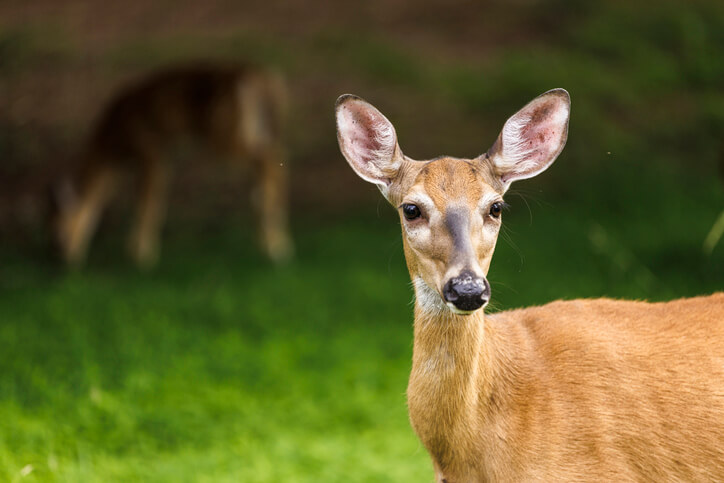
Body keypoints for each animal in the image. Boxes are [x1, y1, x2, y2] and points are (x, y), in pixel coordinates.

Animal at [48, 62, 294, 268]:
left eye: (61, 234)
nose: (65, 260)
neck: (112, 140)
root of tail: (262, 80)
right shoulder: (153, 157)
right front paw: (141, 252)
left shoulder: (151, 151)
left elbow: (148, 202)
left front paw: (141, 257)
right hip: (253, 131)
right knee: (274, 159)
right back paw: (273, 240)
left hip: (226, 134)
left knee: (270, 161)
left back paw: (277, 245)